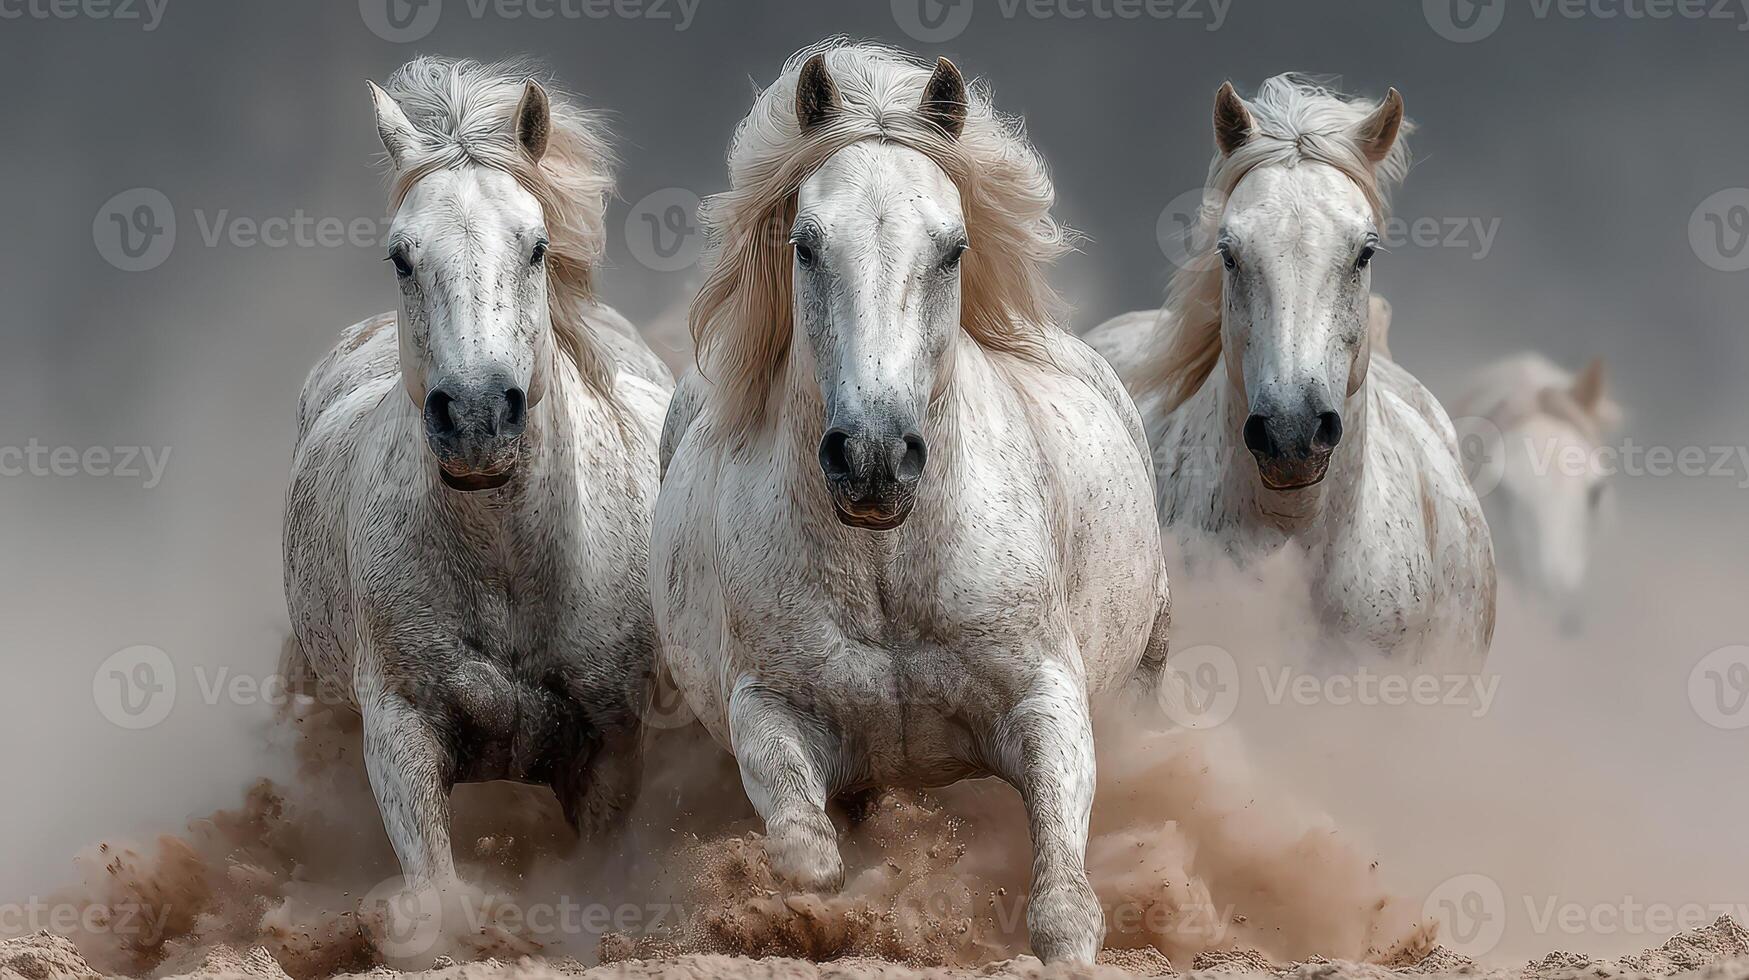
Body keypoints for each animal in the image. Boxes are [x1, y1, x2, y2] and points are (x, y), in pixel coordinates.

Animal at [282, 57, 673, 889]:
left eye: (535, 246)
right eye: (401, 254)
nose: (475, 416)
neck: (506, 566)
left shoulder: (610, 755)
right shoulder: (400, 741)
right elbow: (437, 892)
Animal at [652, 42, 1172, 963]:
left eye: (953, 248)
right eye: (805, 244)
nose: (873, 458)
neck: (890, 569)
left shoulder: (1046, 700)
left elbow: (1064, 905)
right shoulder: (769, 710)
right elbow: (807, 856)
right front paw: (842, 912)